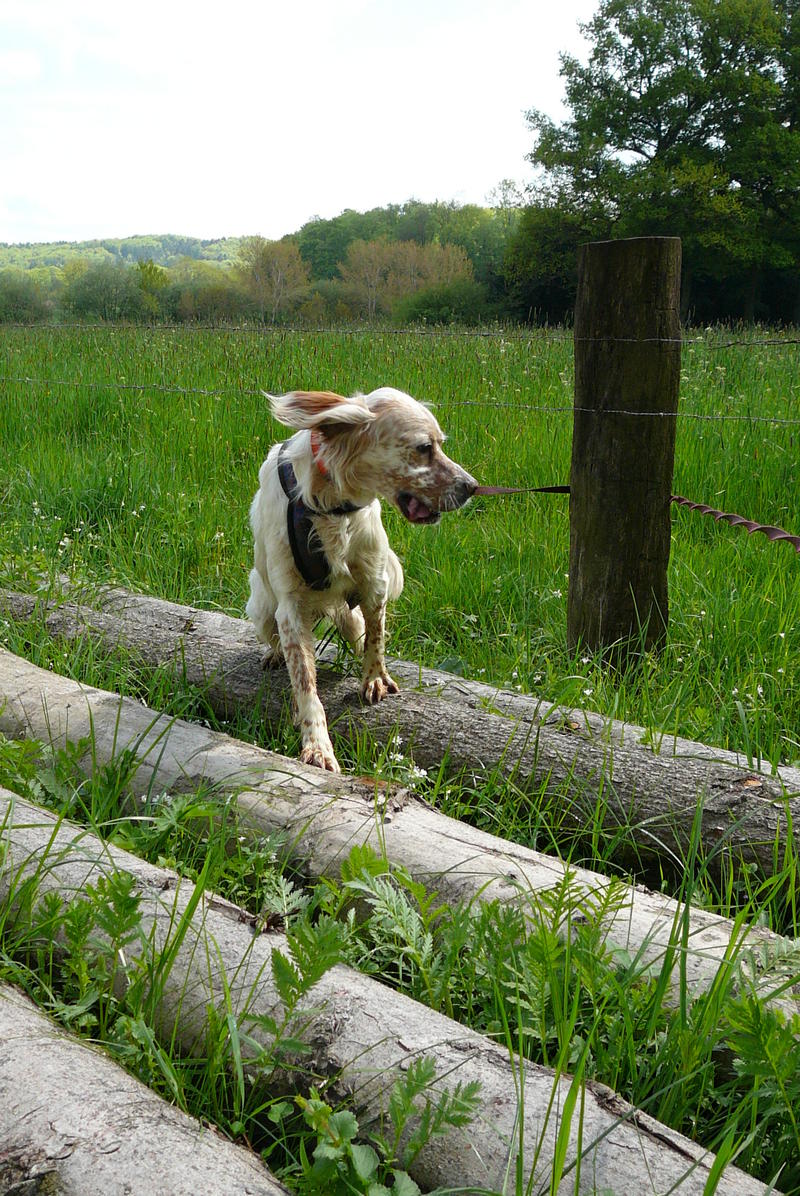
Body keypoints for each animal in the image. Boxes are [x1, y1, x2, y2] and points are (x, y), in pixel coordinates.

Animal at [246, 387, 478, 770]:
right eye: (424, 447)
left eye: (439, 444)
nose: (472, 487)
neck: (332, 503)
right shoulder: (289, 608)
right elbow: (305, 681)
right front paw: (317, 745)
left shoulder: (373, 581)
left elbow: (376, 637)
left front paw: (375, 678)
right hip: (262, 608)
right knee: (276, 638)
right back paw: (274, 654)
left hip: (347, 613)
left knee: (359, 632)